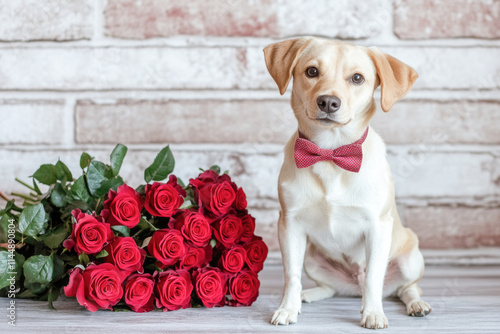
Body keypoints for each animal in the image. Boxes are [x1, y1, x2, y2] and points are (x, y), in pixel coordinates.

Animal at [264, 37, 432, 330]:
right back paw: (309, 295)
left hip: (410, 259)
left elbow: (374, 277)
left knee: (406, 288)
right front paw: (287, 308)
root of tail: (353, 286)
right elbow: (291, 276)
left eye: (357, 78)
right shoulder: (289, 224)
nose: (328, 102)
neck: (331, 152)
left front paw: (373, 313)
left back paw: (416, 304)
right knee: (330, 288)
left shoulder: (378, 226)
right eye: (311, 71)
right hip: (312, 258)